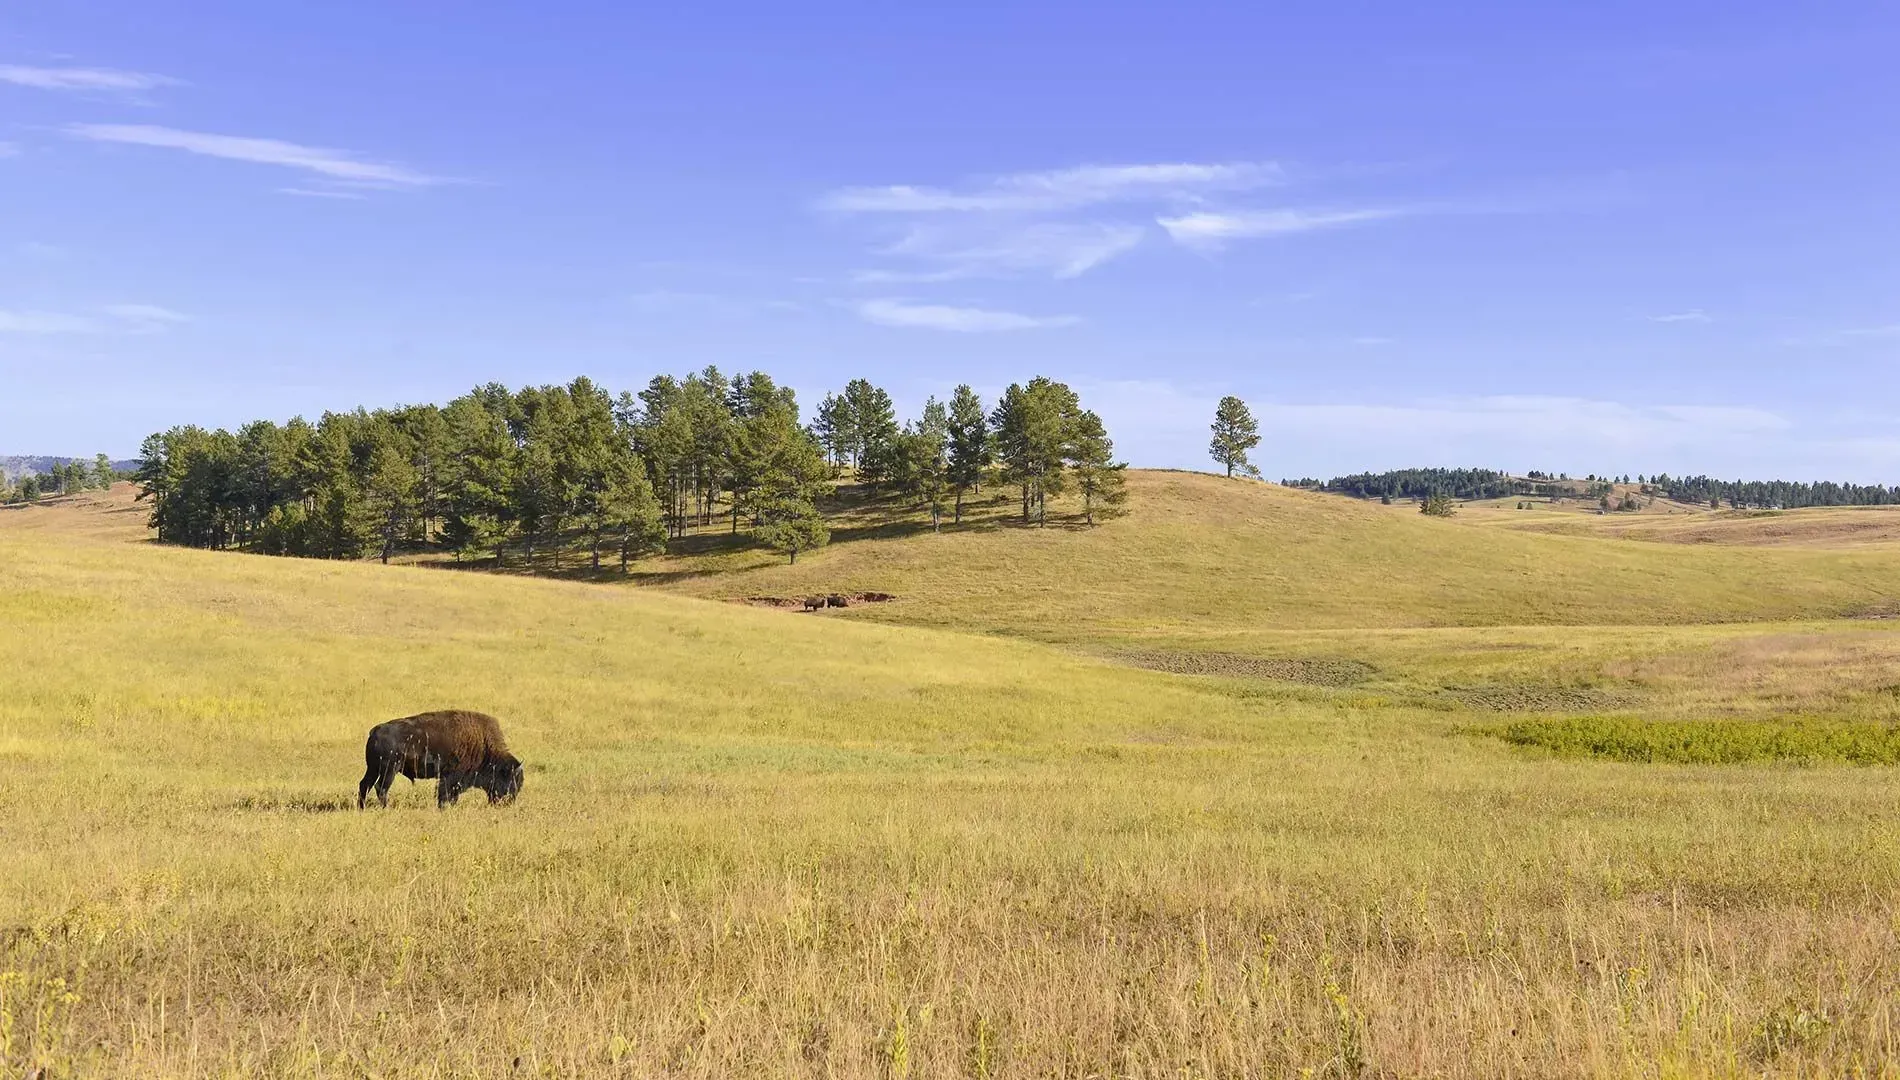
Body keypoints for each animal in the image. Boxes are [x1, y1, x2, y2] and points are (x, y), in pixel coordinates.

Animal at [357, 709, 524, 810]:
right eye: (511, 780)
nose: (508, 802)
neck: (485, 748)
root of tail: (375, 731)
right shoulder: (451, 778)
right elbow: (445, 794)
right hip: (389, 770)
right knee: (381, 788)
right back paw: (386, 808)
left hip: (373, 769)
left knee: (365, 784)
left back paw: (362, 807)